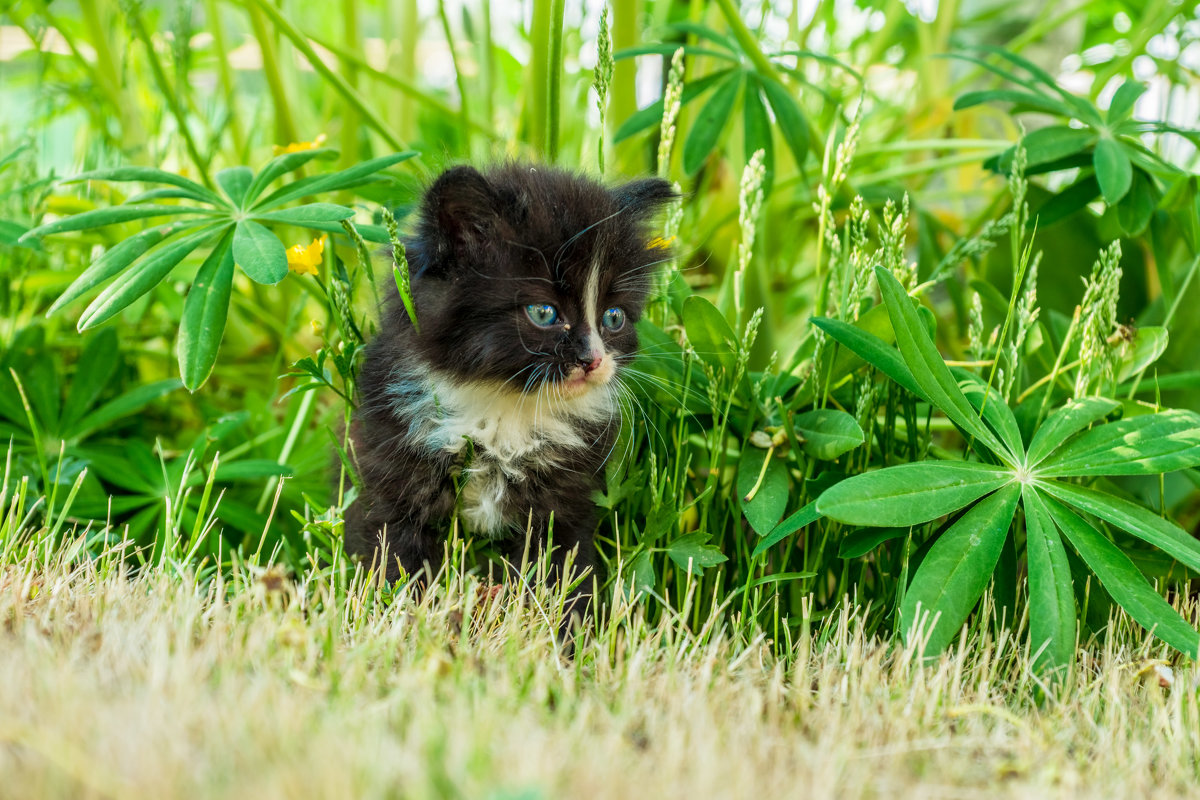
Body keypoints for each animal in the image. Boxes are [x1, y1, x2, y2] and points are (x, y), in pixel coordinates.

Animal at [345, 159, 676, 618]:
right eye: (544, 313)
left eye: (613, 317)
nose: (593, 360)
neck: (506, 404)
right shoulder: (393, 461)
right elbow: (395, 556)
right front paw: (402, 617)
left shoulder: (566, 497)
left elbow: (559, 569)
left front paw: (563, 630)